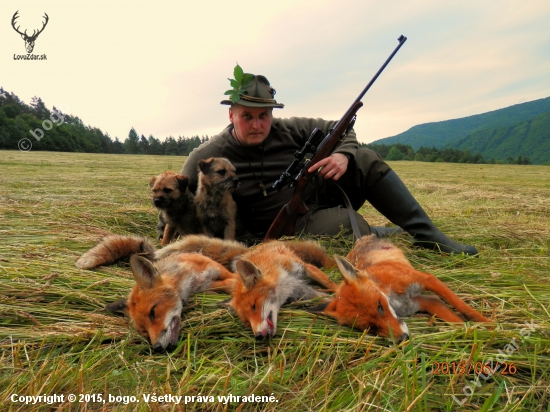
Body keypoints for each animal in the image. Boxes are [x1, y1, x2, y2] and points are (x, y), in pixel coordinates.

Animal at [314, 235, 492, 342]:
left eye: (379, 306)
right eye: (370, 328)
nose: (403, 339)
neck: (394, 300)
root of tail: (361, 239)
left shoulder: (426, 280)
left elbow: (464, 307)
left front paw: (490, 325)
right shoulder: (426, 302)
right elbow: (458, 323)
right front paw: (473, 335)